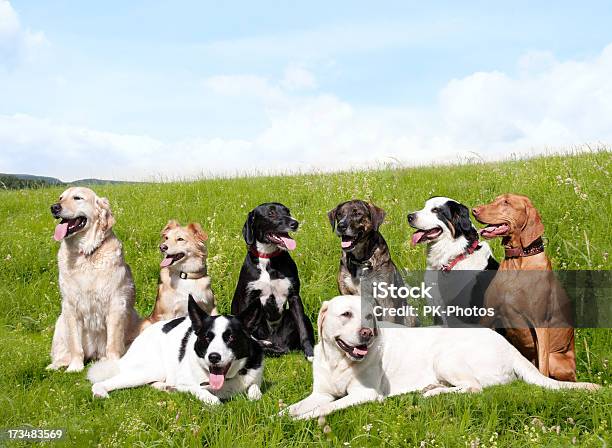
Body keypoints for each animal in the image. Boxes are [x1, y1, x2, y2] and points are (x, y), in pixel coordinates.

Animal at [47, 187, 140, 372]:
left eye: (77, 198)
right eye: (60, 198)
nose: (54, 207)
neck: (85, 255)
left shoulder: (116, 304)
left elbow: (113, 343)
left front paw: (112, 363)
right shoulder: (70, 306)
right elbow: (75, 344)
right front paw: (75, 367)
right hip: (60, 323)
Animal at [87, 296, 264, 404]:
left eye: (231, 337)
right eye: (207, 338)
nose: (214, 357)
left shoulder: (255, 378)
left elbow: (256, 392)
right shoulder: (186, 382)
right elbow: (211, 399)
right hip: (151, 369)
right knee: (103, 383)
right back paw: (100, 392)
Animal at [231, 203, 316, 360]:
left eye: (288, 211)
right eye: (271, 213)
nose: (295, 223)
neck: (268, 258)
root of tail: (276, 341)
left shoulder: (294, 297)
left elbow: (303, 329)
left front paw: (310, 353)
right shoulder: (247, 298)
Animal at [284, 296, 600, 418]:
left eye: (369, 316)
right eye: (346, 314)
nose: (367, 333)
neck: (338, 360)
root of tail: (509, 346)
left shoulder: (366, 395)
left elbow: (326, 408)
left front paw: (305, 418)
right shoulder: (321, 392)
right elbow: (295, 406)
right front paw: (282, 416)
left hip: (445, 356)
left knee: (474, 388)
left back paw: (432, 393)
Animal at [470, 193, 576, 382]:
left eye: (506, 202)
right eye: (495, 199)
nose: (474, 210)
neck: (518, 260)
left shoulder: (541, 324)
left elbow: (543, 368)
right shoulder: (488, 315)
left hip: (556, 360)